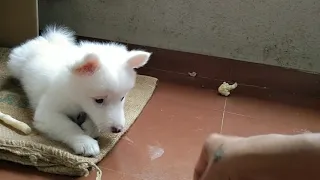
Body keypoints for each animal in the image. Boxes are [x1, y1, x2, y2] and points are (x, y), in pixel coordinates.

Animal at [7, 25, 152, 156]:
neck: (75, 98)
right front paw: (85, 142)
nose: (118, 130)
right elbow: (68, 126)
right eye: (99, 100)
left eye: (122, 98)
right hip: (15, 64)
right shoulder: (46, 112)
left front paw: (90, 129)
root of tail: (47, 40)